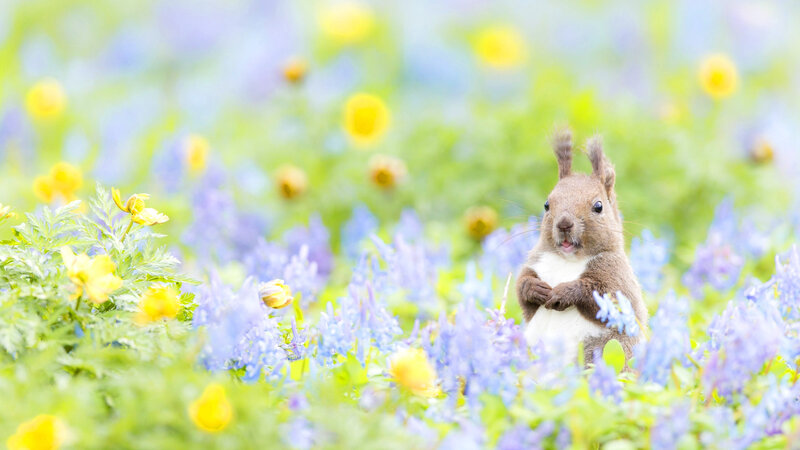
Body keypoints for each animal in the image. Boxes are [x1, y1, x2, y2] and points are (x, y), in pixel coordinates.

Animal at [516, 127, 648, 365]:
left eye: (598, 206)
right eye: (547, 204)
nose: (564, 224)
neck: (568, 260)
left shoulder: (618, 277)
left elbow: (602, 294)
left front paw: (564, 292)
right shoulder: (536, 262)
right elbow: (522, 289)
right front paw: (534, 288)